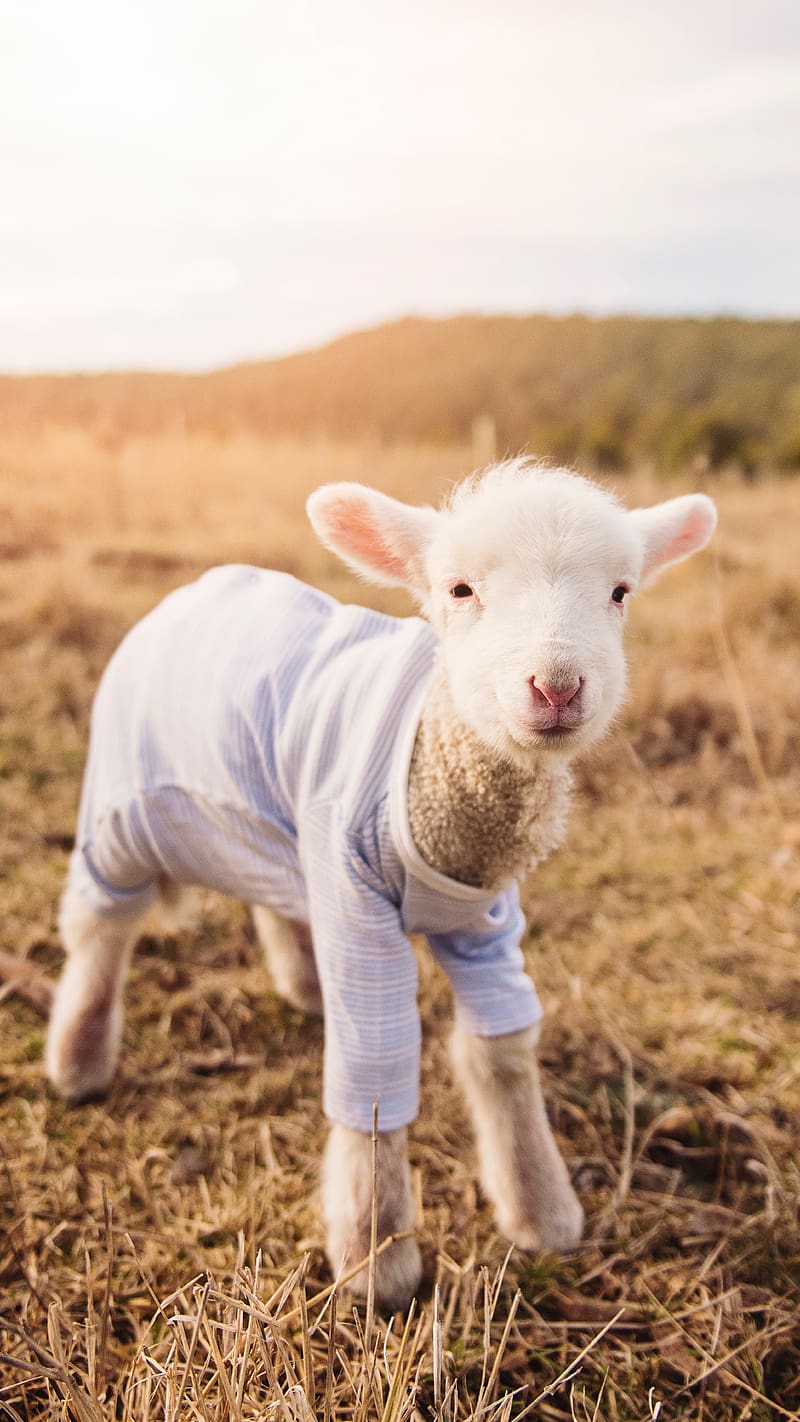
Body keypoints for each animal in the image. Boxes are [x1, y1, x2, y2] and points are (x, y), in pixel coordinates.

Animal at [46, 459, 717, 1311]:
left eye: (621, 592)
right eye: (459, 589)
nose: (558, 688)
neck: (440, 770)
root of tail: (191, 591)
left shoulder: (487, 916)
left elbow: (503, 1052)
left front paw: (543, 1210)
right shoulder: (357, 905)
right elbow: (376, 1072)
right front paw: (378, 1257)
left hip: (276, 824)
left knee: (268, 892)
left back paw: (301, 986)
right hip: (122, 812)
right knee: (100, 926)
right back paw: (78, 1059)